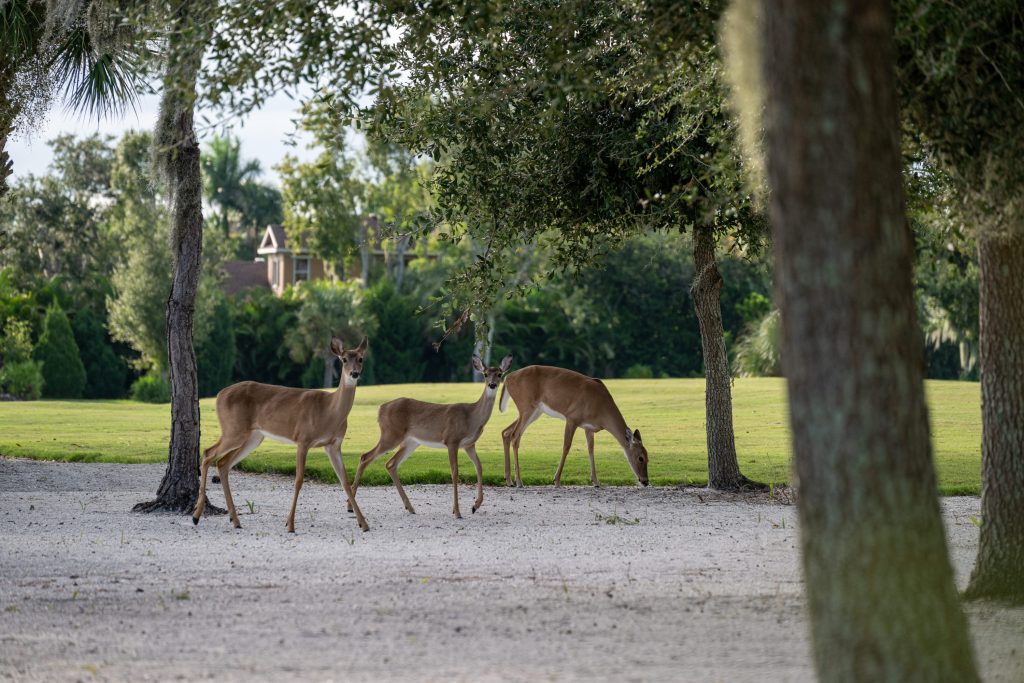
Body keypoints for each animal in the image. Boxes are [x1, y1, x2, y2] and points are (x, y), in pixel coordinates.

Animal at [192, 336, 370, 533]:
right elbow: (299, 480)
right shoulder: (303, 439)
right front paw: (290, 524)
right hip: (233, 430)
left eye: (361, 358)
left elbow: (344, 480)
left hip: (253, 437)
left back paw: (235, 520)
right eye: (344, 359)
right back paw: (196, 515)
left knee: (223, 463)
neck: (329, 411)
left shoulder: (333, 445)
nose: (354, 374)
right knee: (208, 453)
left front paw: (363, 523)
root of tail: (219, 395)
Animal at [348, 354, 513, 519]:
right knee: (365, 457)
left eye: (499, 374)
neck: (472, 417)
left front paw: (475, 505)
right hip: (391, 434)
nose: (492, 385)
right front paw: (457, 511)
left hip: (410, 442)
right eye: (485, 374)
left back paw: (410, 507)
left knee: (391, 464)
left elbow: (479, 467)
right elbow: (455, 472)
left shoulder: (469, 444)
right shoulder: (452, 440)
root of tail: (380, 409)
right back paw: (350, 507)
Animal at [499, 365, 649, 488]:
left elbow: (591, 449)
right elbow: (566, 446)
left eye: (648, 458)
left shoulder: (589, 427)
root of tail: (507, 378)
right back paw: (519, 482)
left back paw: (509, 480)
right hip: (526, 406)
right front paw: (556, 480)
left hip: (535, 411)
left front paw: (596, 481)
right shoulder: (572, 418)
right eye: (640, 458)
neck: (601, 408)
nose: (646, 481)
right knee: (515, 436)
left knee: (506, 432)